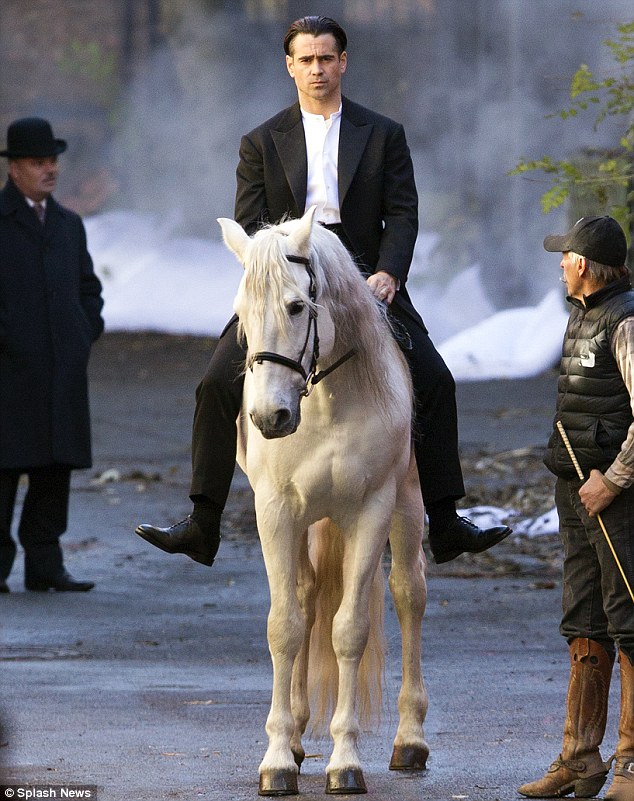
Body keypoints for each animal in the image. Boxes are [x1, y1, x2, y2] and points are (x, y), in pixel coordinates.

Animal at [218, 206, 430, 792]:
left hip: (407, 506)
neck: (328, 402)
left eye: (297, 306)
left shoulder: (371, 511)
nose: (269, 417)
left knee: (409, 593)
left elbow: (349, 630)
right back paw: (293, 737)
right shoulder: (276, 512)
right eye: (241, 314)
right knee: (307, 595)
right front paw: (276, 759)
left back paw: (410, 740)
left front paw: (345, 761)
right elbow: (285, 626)